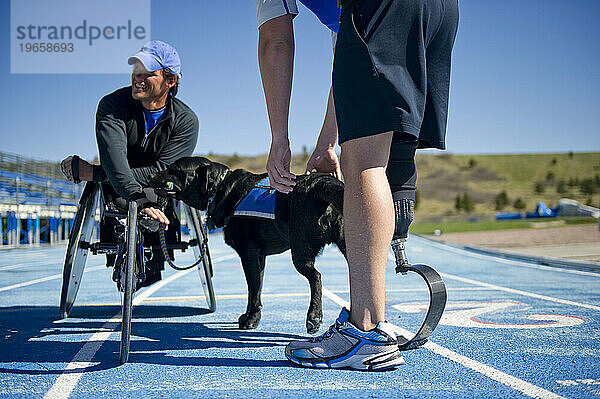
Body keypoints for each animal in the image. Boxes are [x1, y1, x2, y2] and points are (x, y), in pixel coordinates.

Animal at [151, 158, 346, 332]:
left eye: (175, 169)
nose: (152, 174)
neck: (220, 190)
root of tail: (321, 182)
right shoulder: (260, 256)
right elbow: (256, 289)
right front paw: (250, 316)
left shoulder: (248, 254)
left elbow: (252, 288)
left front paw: (251, 319)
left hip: (300, 249)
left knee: (316, 277)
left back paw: (314, 316)